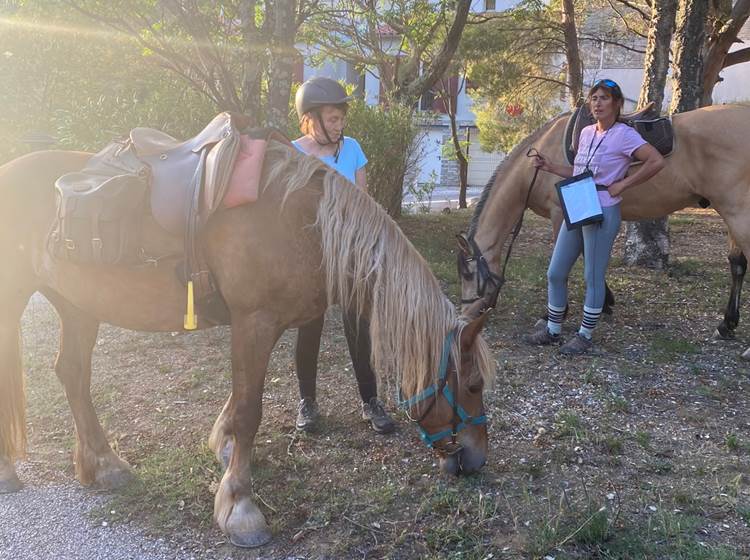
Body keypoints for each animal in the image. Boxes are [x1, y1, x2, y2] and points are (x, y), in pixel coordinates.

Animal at [0, 141, 496, 548]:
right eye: (472, 385)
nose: (476, 459)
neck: (303, 223)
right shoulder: (253, 321)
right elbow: (249, 411)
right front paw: (240, 506)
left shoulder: (265, 325)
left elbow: (239, 399)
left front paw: (223, 447)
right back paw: (11, 470)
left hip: (77, 305)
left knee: (73, 374)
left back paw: (103, 465)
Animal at [456, 104, 750, 354]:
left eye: (469, 275)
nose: (463, 316)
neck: (535, 166)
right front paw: (606, 301)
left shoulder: (561, 215)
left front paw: (553, 315)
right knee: (737, 264)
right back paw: (726, 325)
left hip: (737, 213)